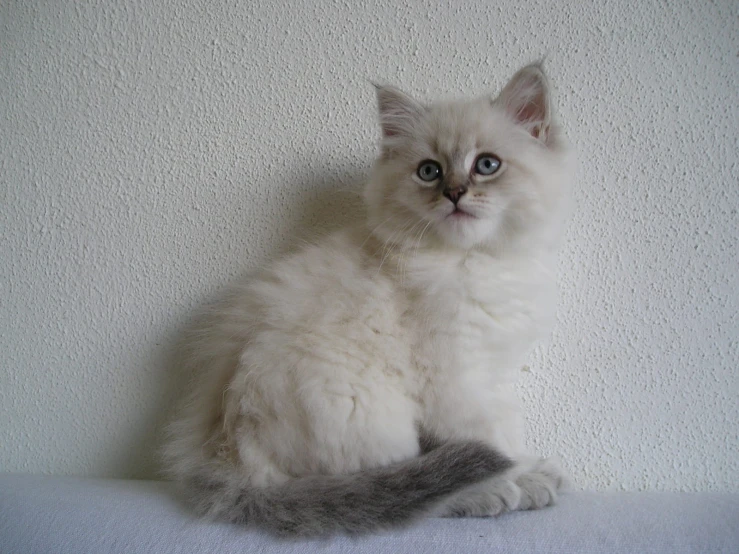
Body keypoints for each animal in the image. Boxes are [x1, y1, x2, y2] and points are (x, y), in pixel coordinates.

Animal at [165, 61, 576, 536]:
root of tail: (224, 463)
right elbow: (491, 440)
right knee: (401, 489)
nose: (454, 193)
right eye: (430, 171)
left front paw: (529, 469)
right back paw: (484, 494)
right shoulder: (455, 379)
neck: (472, 260)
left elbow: (508, 429)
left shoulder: (494, 372)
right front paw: (517, 478)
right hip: (372, 414)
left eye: (486, 165)